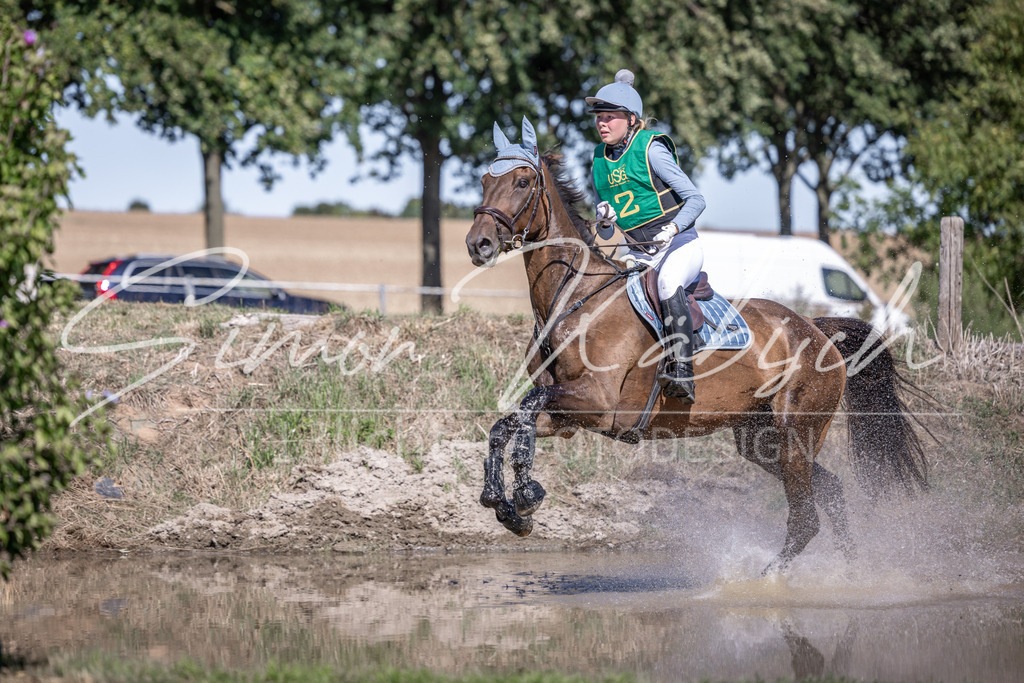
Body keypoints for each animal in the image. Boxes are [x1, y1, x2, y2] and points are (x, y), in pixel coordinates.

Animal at [465, 117, 927, 573]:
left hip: (796, 432)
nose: (478, 244)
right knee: (828, 490)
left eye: (523, 181)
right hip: (759, 438)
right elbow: (508, 422)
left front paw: (526, 494)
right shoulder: (567, 416)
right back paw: (849, 571)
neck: (575, 300)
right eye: (485, 180)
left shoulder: (599, 403)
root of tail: (813, 329)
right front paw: (504, 505)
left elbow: (526, 407)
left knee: (805, 517)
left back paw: (769, 579)